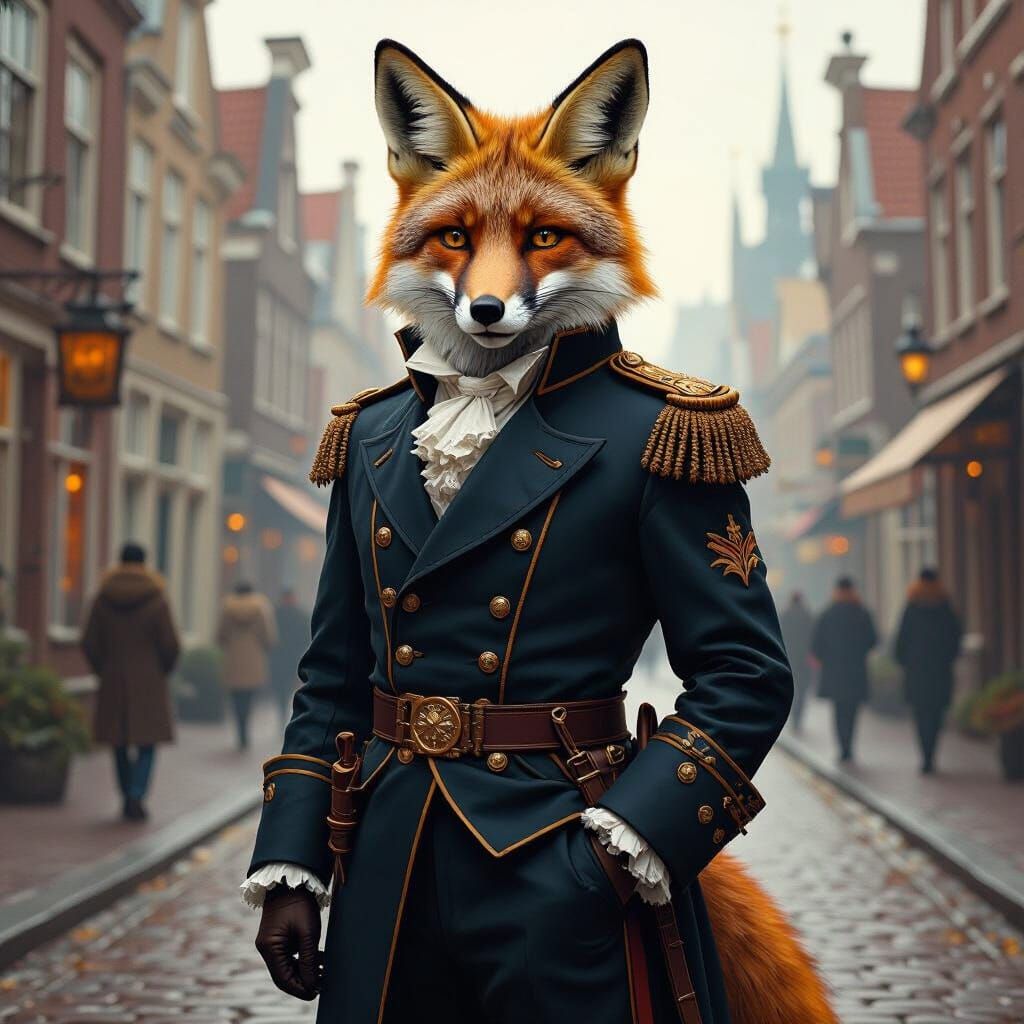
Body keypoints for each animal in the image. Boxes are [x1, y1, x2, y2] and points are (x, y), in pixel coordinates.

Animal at [360, 39, 837, 1024]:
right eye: (455, 236)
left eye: (544, 236)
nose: (487, 312)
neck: (495, 396)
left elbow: (740, 668)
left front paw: (619, 854)